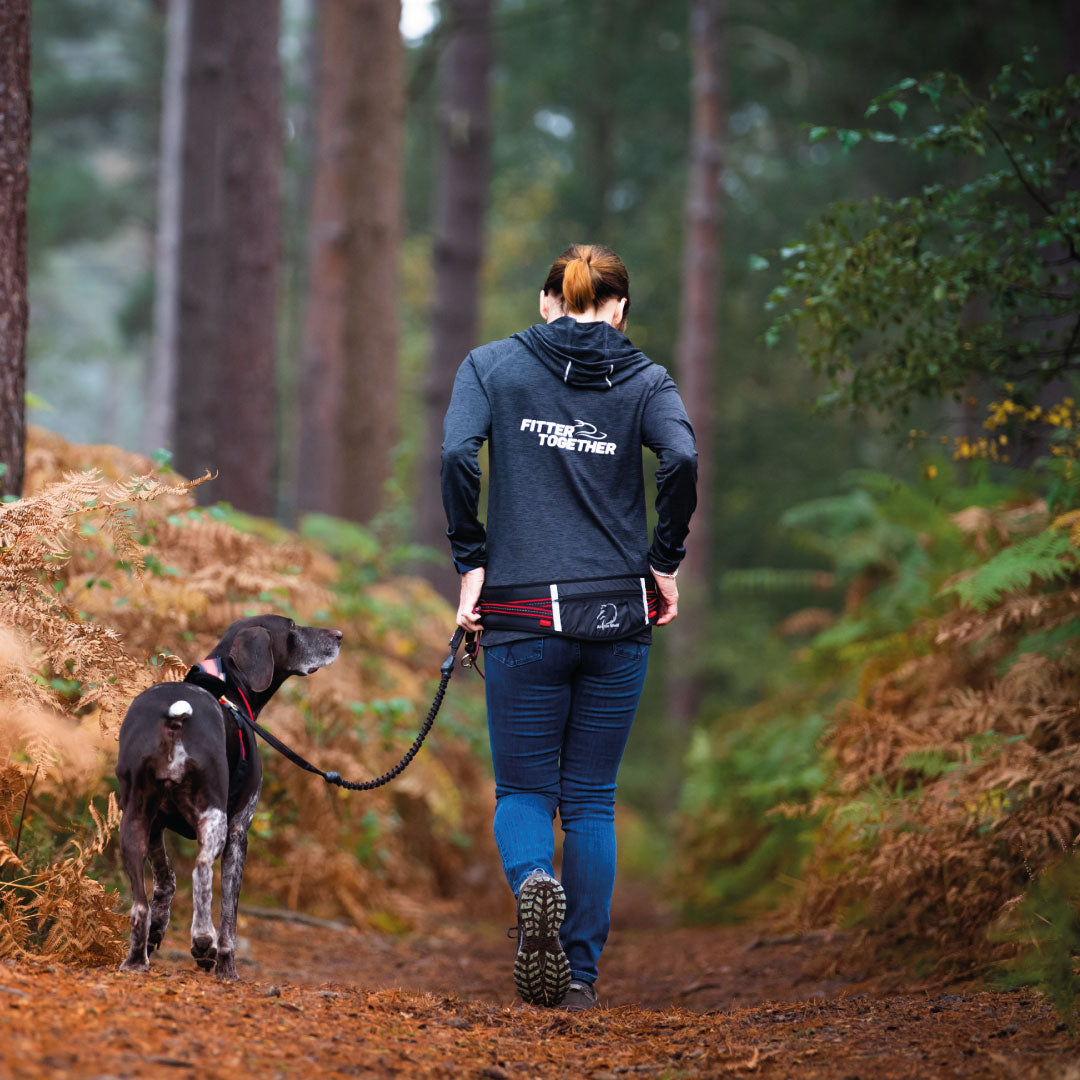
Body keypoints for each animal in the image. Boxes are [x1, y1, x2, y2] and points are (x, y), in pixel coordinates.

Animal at [116, 617, 341, 980]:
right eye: (292, 627)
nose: (339, 635)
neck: (227, 687)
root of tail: (175, 721)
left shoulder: (154, 826)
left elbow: (165, 883)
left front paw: (157, 932)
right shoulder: (238, 832)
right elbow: (229, 916)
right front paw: (226, 965)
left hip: (133, 823)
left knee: (139, 904)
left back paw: (136, 960)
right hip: (215, 820)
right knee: (201, 872)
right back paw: (202, 940)